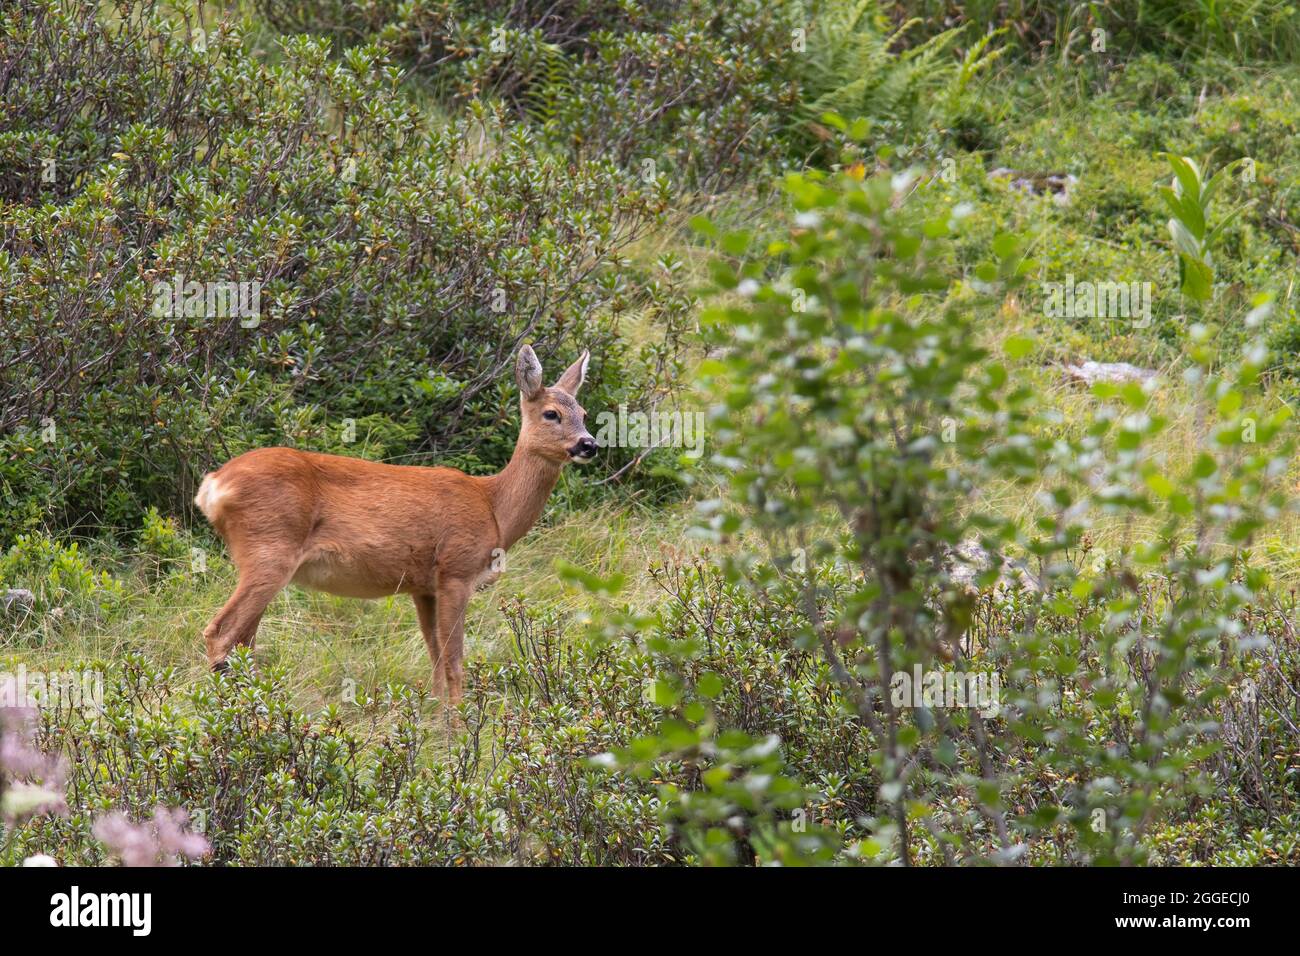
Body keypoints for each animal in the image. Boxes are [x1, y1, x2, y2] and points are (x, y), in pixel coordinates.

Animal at [192, 343, 598, 702]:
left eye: (583, 412)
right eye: (551, 414)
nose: (588, 445)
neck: (494, 507)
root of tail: (213, 485)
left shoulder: (424, 587)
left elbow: (436, 662)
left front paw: (435, 723)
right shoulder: (455, 570)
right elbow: (454, 663)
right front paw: (460, 732)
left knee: (245, 641)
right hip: (270, 547)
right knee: (221, 632)